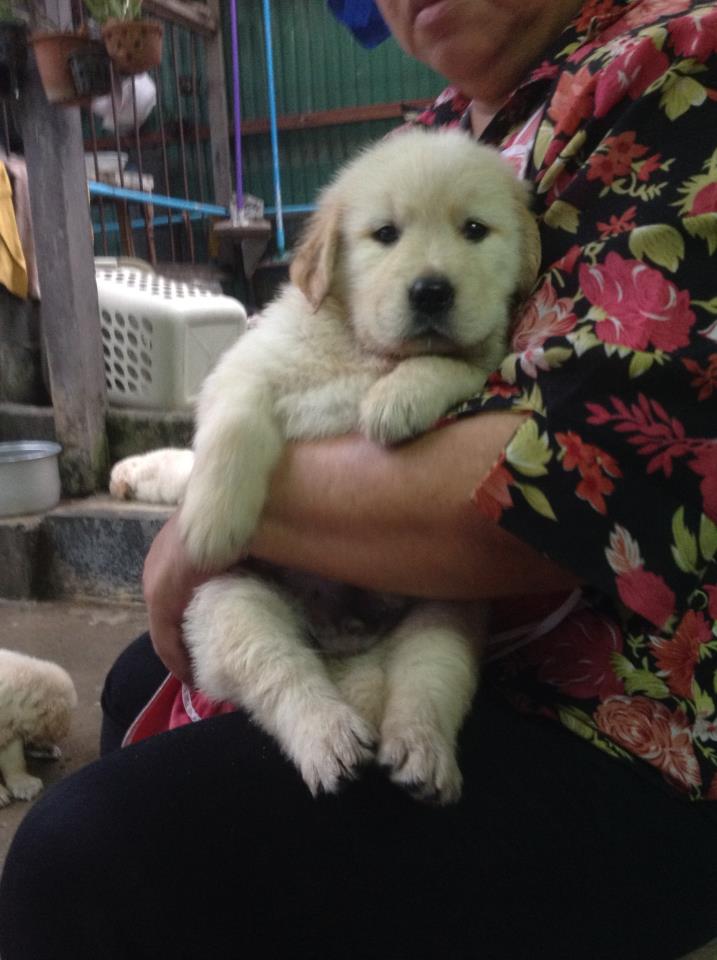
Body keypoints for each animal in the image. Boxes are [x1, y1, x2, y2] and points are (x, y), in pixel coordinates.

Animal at [110, 128, 540, 802]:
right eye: (385, 233)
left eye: (475, 229)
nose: (432, 290)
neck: (360, 347)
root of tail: (348, 651)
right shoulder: (246, 367)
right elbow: (233, 423)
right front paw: (209, 523)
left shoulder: (484, 359)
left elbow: (451, 361)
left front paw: (395, 400)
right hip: (228, 604)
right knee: (284, 675)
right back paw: (329, 735)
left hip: (448, 610)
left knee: (429, 679)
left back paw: (419, 751)